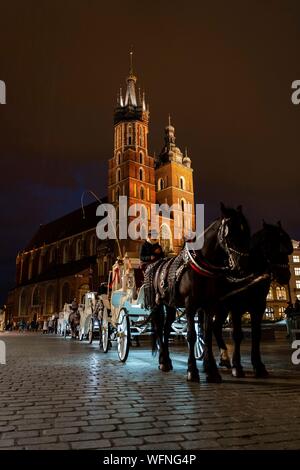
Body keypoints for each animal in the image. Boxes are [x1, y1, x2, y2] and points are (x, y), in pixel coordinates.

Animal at [149, 204, 254, 384]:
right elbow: (191, 335)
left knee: (166, 329)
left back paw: (167, 360)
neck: (203, 266)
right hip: (157, 304)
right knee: (158, 327)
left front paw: (212, 372)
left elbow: (207, 333)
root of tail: (158, 264)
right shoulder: (190, 304)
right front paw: (192, 370)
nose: (243, 266)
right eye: (229, 233)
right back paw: (163, 362)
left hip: (171, 305)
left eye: (246, 232)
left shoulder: (209, 304)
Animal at [211, 222, 292, 380]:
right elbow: (237, 335)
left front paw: (259, 366)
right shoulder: (236, 307)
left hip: (222, 309)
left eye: (287, 245)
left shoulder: (258, 307)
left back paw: (224, 358)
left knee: (215, 328)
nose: (284, 275)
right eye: (268, 244)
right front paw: (237, 366)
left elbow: (256, 335)